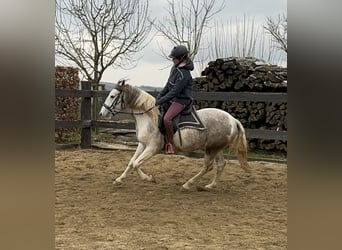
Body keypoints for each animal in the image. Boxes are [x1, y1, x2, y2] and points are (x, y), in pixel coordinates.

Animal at [99, 80, 251, 189]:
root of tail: (233, 120)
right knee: (220, 165)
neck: (149, 117)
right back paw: (210, 185)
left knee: (208, 167)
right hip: (216, 147)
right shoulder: (142, 144)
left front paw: (149, 178)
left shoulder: (152, 148)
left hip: (211, 149)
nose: (102, 113)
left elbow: (136, 164)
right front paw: (119, 180)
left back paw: (188, 184)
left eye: (112, 96)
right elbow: (131, 163)